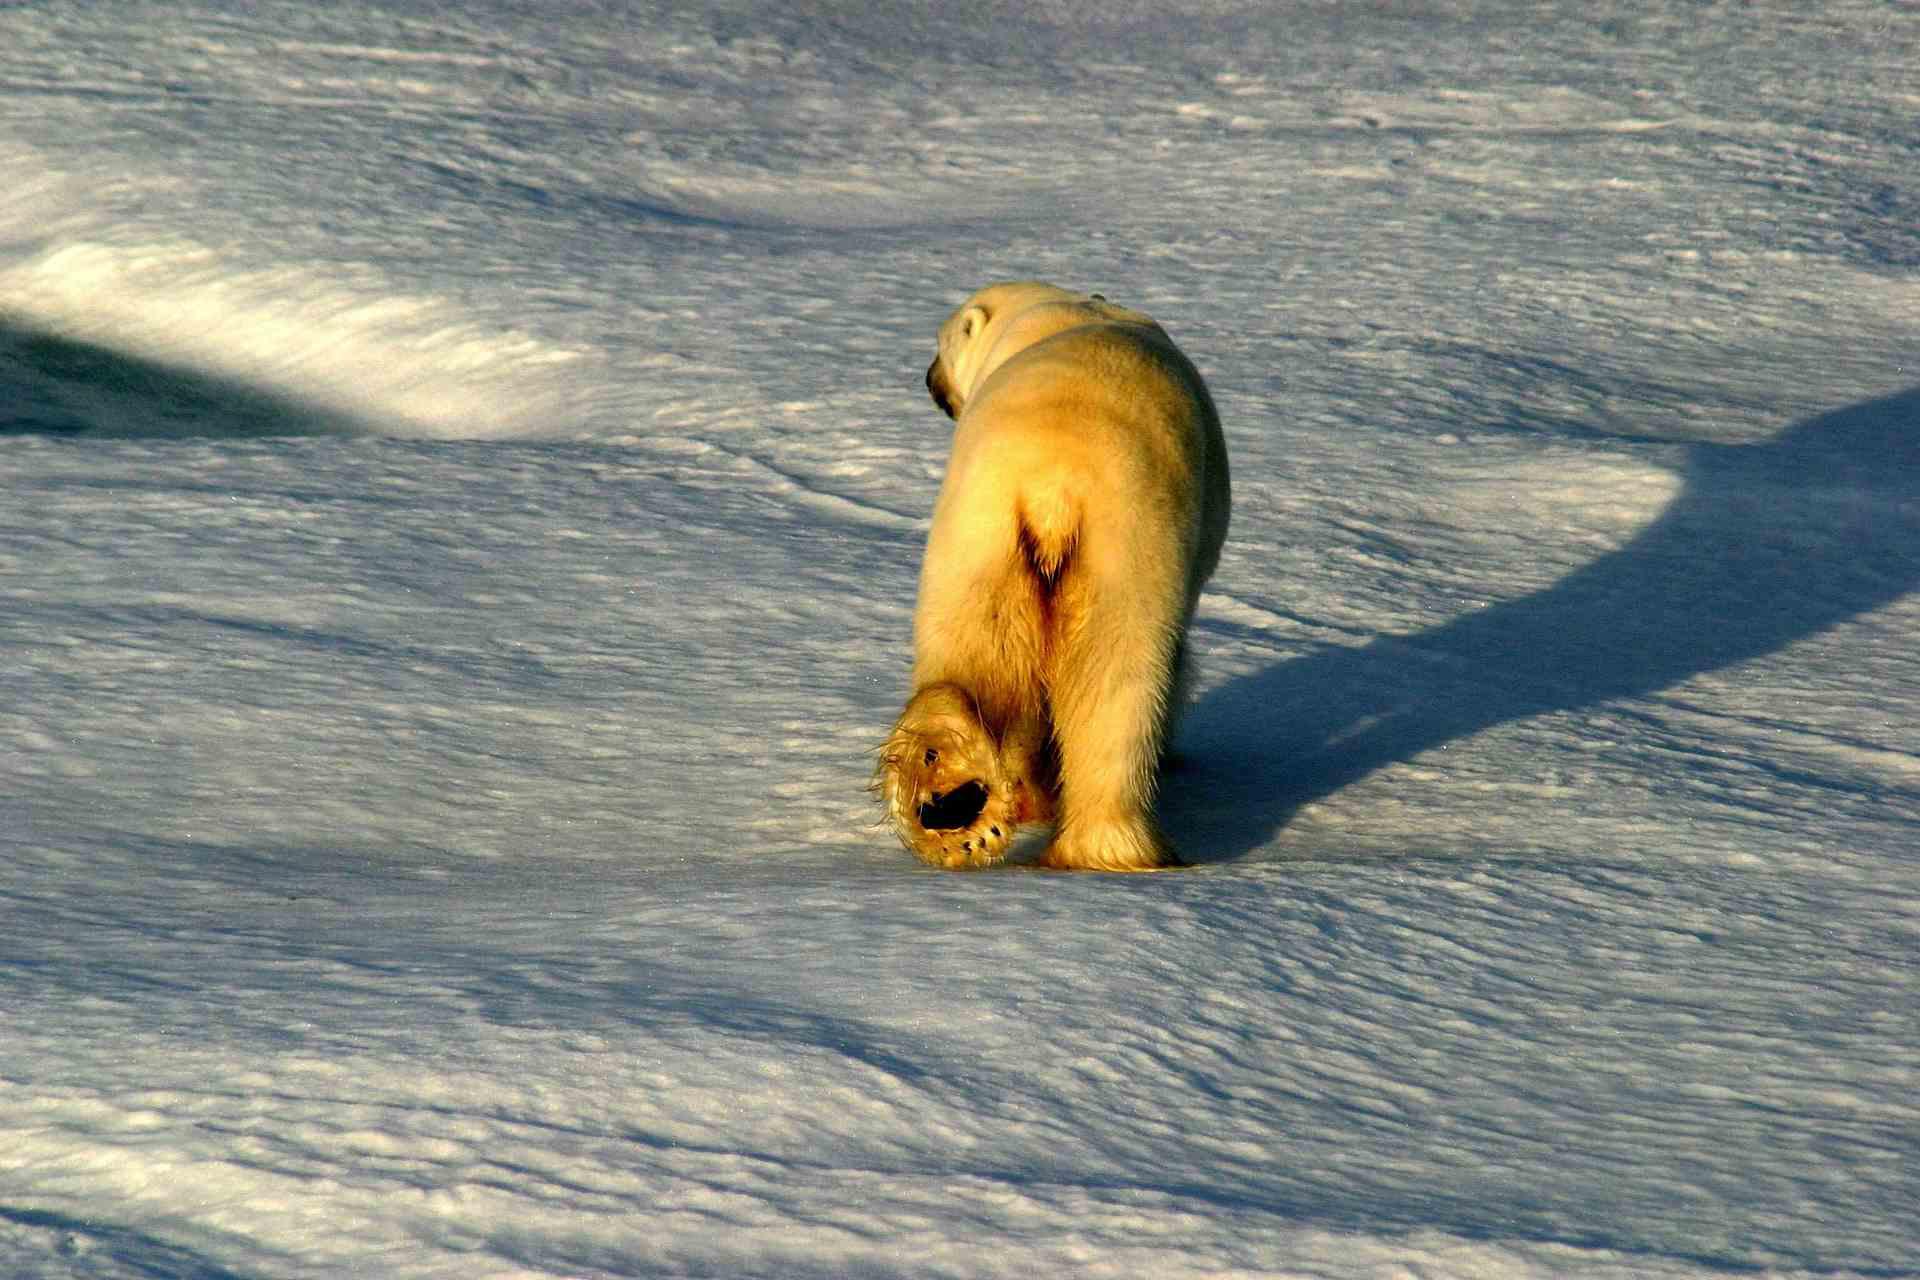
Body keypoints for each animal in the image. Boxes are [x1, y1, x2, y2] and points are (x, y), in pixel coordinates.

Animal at [875, 282, 1228, 871]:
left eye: (941, 346)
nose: (928, 379)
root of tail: (1052, 485)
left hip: (979, 533)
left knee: (973, 653)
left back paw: (954, 796)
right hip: (1127, 547)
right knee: (1117, 680)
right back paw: (1107, 844)